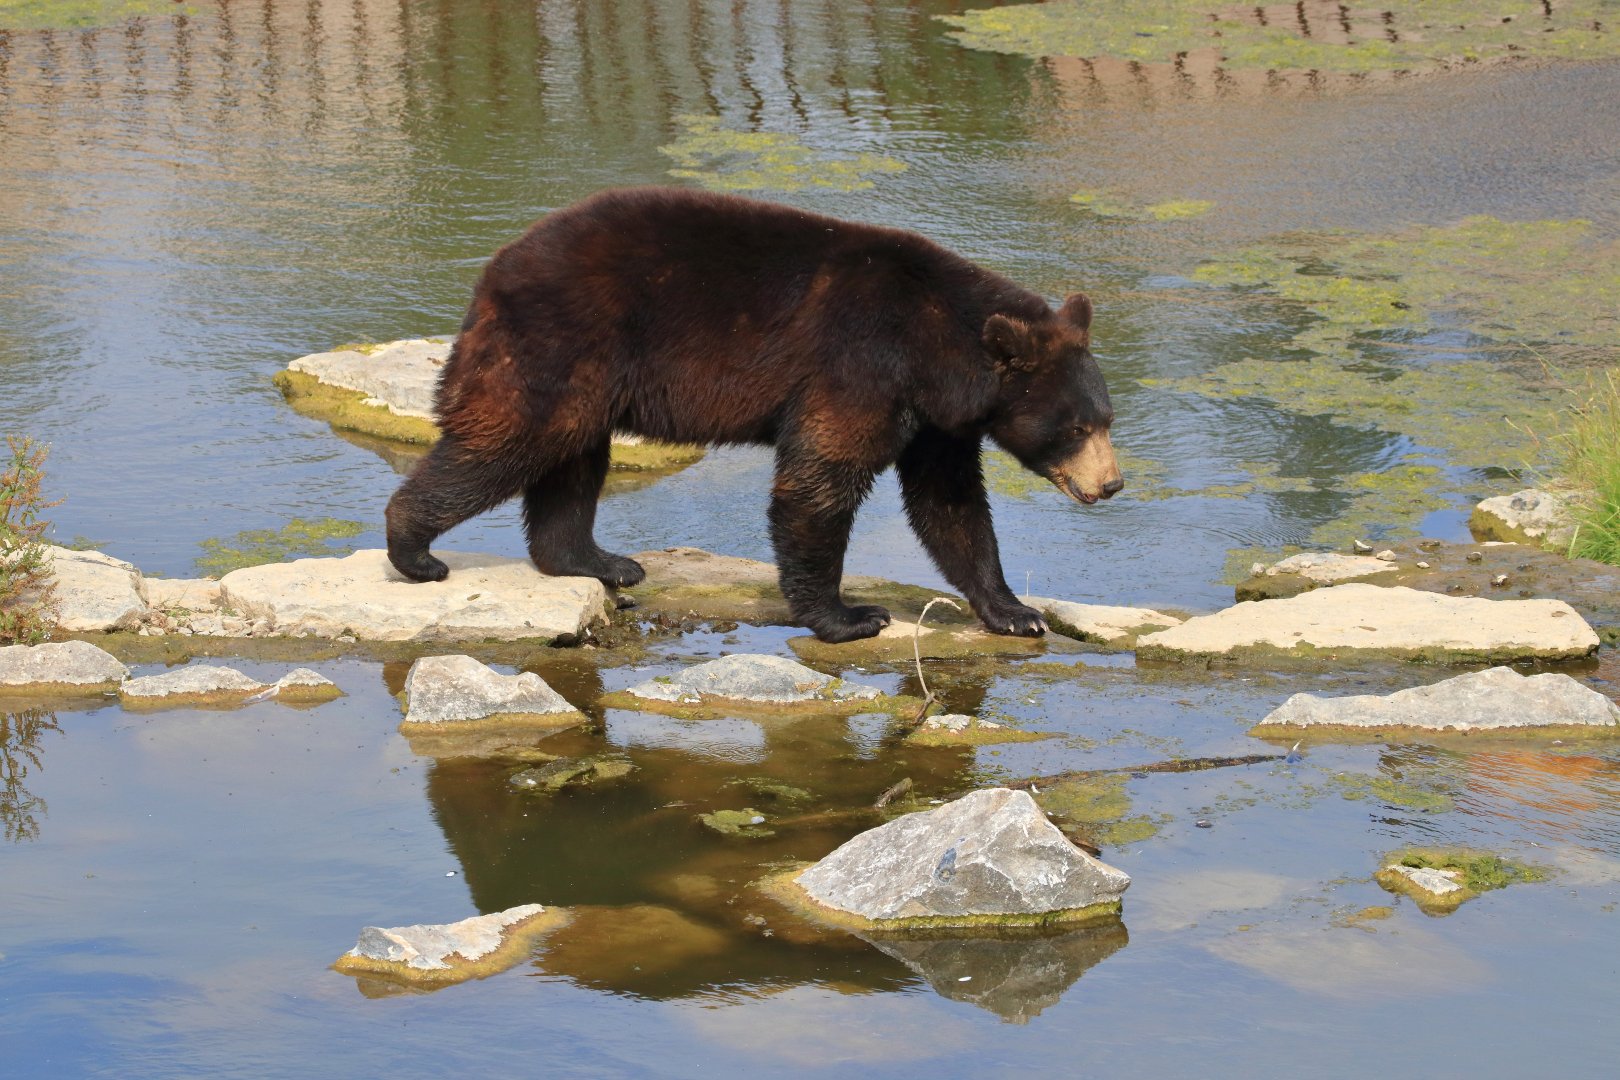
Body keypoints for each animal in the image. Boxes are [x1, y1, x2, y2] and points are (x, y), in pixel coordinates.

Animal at [386, 187, 1122, 644]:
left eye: (1107, 419)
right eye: (1077, 428)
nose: (1112, 483)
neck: (937, 348)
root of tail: (493, 272)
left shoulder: (938, 419)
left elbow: (952, 505)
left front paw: (1016, 611)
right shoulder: (861, 363)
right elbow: (821, 478)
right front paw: (850, 614)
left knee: (573, 458)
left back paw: (597, 560)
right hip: (559, 341)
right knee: (512, 439)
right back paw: (414, 551)